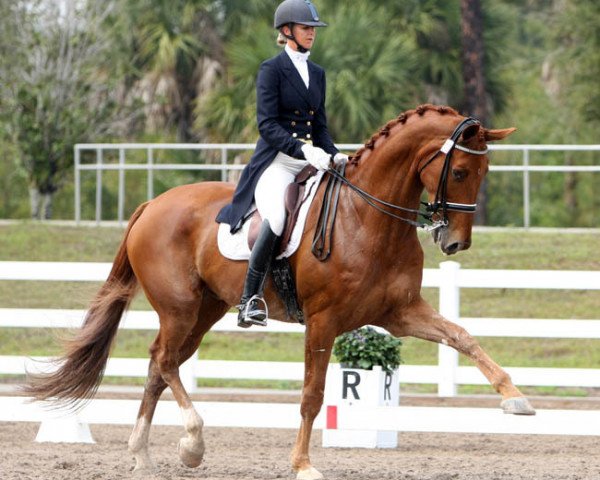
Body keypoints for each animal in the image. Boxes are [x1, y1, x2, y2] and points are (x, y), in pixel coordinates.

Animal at [25, 105, 536, 480]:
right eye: (461, 172)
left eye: (484, 171)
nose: (455, 243)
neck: (368, 219)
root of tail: (153, 203)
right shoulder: (325, 321)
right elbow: (312, 394)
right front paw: (304, 465)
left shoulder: (401, 312)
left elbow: (463, 337)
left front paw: (515, 398)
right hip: (180, 307)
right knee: (165, 361)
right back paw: (192, 443)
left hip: (205, 312)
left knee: (158, 366)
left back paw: (143, 455)